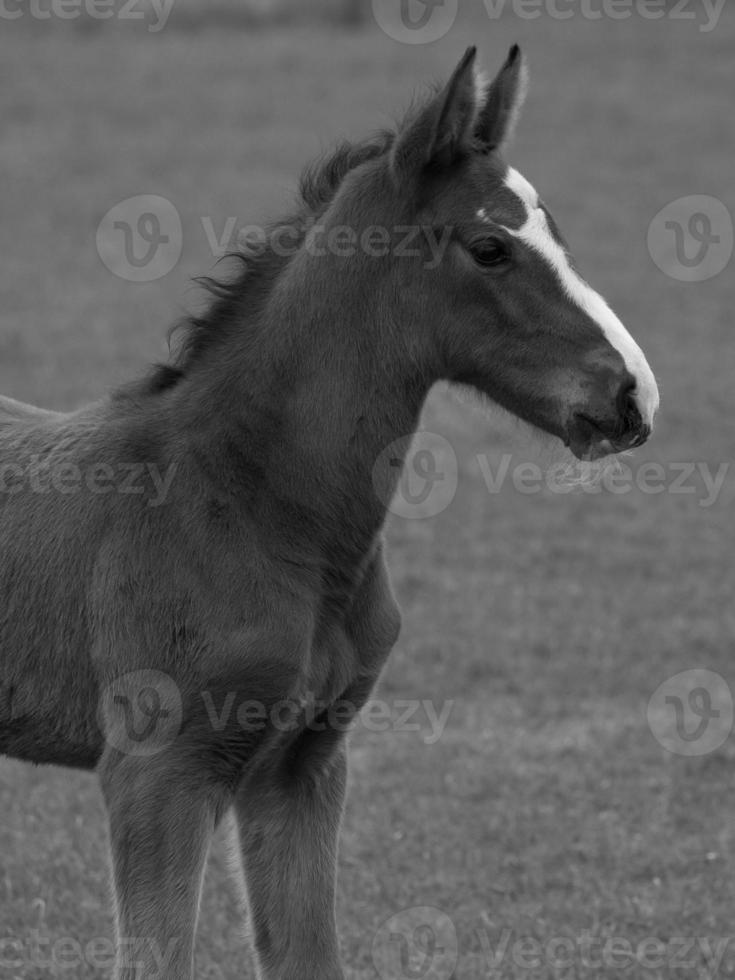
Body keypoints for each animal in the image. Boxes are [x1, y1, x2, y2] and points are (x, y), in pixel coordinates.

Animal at [0, 44, 660, 980]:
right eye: (488, 247)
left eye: (558, 236)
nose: (632, 394)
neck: (247, 504)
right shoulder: (155, 772)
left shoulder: (301, 766)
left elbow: (310, 954)